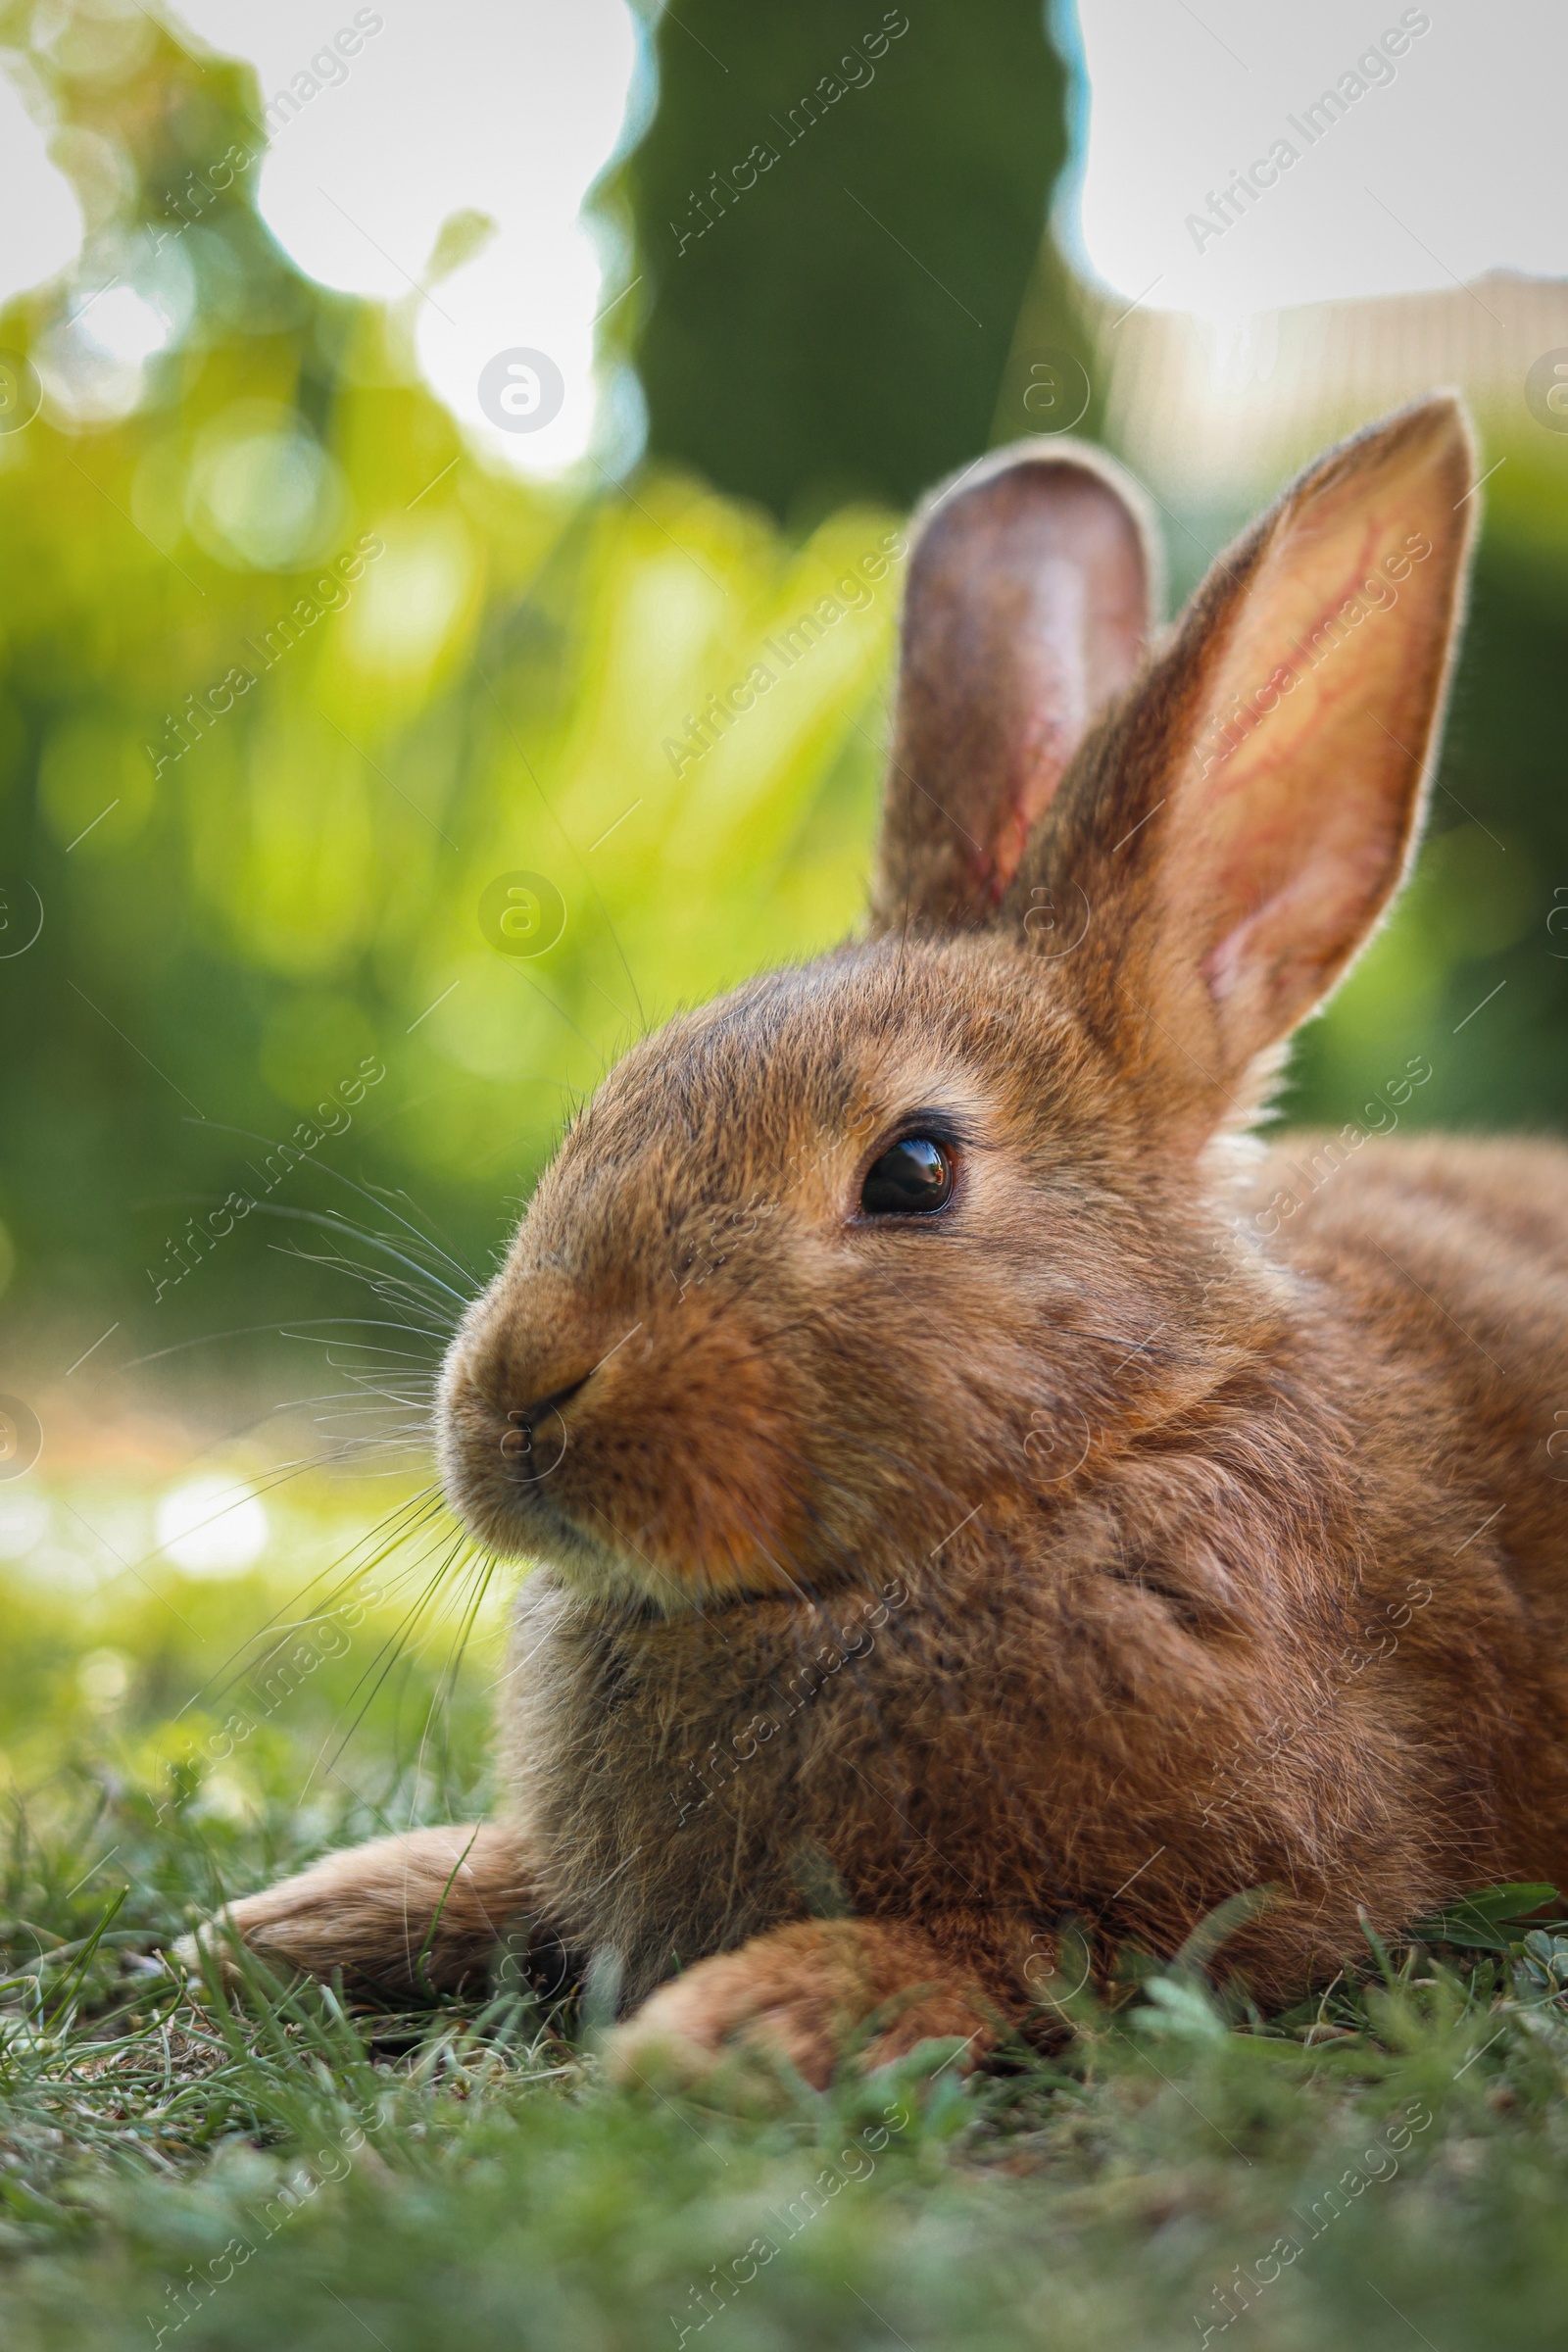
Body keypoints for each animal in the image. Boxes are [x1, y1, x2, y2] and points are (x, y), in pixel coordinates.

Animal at [186, 400, 1568, 2097]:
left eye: (914, 1170)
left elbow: (997, 1955)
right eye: (623, 1086)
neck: (1108, 1447)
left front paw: (727, 2030)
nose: (518, 1398)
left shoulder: (1223, 1902)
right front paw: (281, 1925)